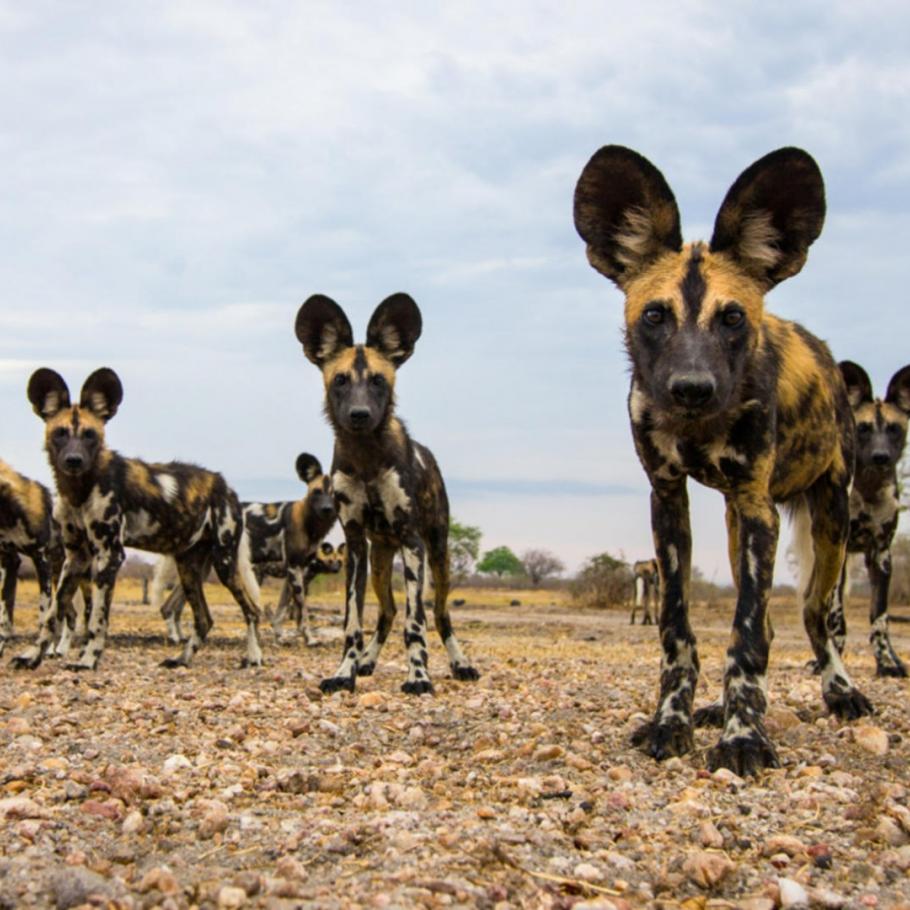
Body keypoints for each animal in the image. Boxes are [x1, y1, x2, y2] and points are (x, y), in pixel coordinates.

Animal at [15, 366, 264, 672]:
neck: (79, 489)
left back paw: (254, 657)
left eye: (89, 435)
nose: (74, 460)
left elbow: (97, 620)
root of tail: (227, 488)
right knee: (204, 619)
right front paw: (32, 656)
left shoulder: (109, 555)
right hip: (189, 568)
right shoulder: (75, 558)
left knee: (251, 611)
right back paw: (181, 659)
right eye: (60, 433)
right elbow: (51, 615)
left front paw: (87, 660)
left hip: (224, 563)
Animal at [153, 456, 338, 648]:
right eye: (317, 492)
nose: (327, 509)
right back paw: (176, 638)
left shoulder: (293, 573)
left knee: (171, 606)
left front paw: (279, 637)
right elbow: (302, 610)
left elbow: (282, 611)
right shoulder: (294, 569)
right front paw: (310, 639)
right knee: (171, 606)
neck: (308, 521)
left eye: (336, 494)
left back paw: (180, 638)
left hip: (201, 570)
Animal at [298, 296, 484, 696]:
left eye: (378, 381)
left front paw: (419, 678)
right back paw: (367, 661)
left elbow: (417, 622)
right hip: (380, 559)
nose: (359, 414)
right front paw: (345, 672)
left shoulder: (413, 541)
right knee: (387, 612)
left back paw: (461, 664)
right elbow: (353, 623)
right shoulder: (354, 546)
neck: (367, 456)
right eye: (340, 380)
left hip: (439, 555)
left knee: (440, 614)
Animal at [576, 144, 876, 776]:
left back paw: (840, 691)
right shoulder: (669, 503)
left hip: (828, 520)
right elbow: (678, 631)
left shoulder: (759, 507)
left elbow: (746, 637)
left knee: (815, 616)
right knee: (769, 618)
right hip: (740, 527)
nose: (692, 388)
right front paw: (674, 721)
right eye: (655, 316)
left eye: (733, 318)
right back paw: (722, 706)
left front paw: (744, 739)